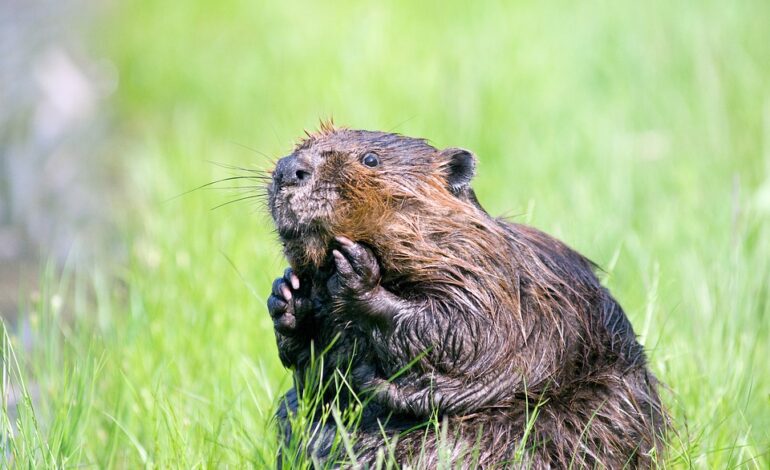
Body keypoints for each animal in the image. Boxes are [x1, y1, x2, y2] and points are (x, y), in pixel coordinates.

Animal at [264, 123, 664, 468]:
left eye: (371, 159)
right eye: (302, 146)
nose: (289, 168)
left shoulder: (493, 278)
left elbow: (466, 331)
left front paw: (357, 272)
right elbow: (320, 378)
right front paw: (287, 296)